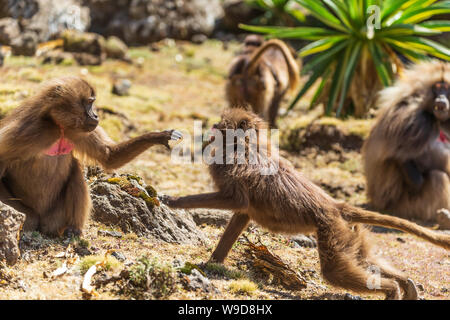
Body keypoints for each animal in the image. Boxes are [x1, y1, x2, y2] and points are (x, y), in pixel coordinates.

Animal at [0, 76, 183, 236]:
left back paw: (73, 229)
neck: (57, 125)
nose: (96, 116)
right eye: (89, 102)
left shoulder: (81, 132)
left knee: (75, 171)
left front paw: (161, 136)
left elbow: (109, 156)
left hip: (56, 218)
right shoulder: (24, 132)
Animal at [162, 109, 450, 298]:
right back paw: (406, 284)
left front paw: (174, 201)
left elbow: (237, 200)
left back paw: (392, 290)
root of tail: (336, 206)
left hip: (332, 231)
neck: (247, 143)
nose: (210, 129)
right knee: (363, 259)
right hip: (348, 233)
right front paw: (212, 262)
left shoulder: (235, 166)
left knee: (334, 271)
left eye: (221, 125)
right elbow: (242, 214)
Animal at [364, 60, 448, 225]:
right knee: (437, 178)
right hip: (405, 206)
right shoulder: (415, 119)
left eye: (447, 88)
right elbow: (397, 155)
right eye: (437, 87)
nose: (441, 98)